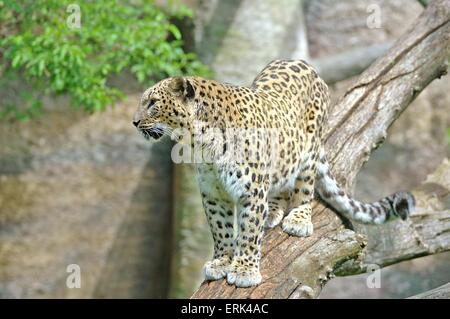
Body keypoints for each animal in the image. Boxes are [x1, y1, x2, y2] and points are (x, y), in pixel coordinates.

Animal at [131, 60, 414, 290]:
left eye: (152, 103)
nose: (134, 122)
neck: (200, 140)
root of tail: (307, 65)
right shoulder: (213, 192)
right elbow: (221, 229)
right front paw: (221, 261)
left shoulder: (251, 190)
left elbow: (248, 232)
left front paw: (245, 271)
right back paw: (273, 211)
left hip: (309, 151)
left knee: (303, 189)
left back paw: (298, 219)